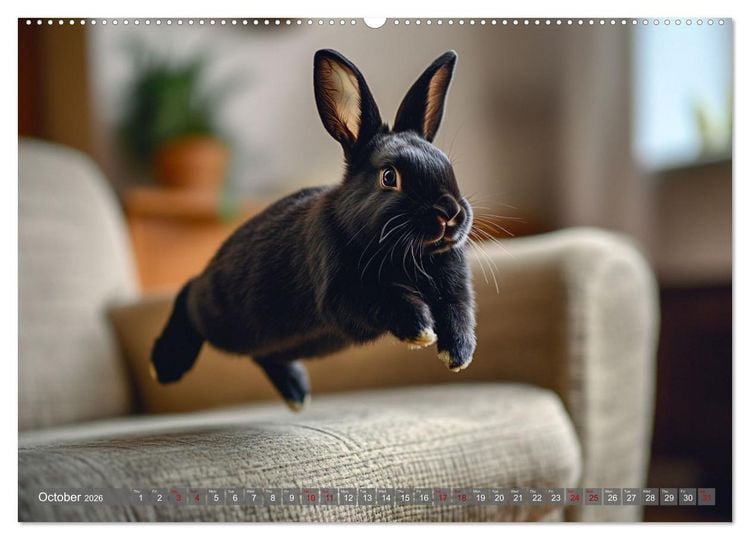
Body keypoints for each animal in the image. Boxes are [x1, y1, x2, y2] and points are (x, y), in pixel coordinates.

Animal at [151, 49, 476, 411]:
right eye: (389, 177)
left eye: (447, 165)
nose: (450, 213)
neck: (408, 253)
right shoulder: (345, 292)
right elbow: (392, 299)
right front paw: (420, 330)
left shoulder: (455, 289)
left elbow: (458, 313)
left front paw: (458, 355)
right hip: (223, 316)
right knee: (189, 294)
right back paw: (167, 364)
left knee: (264, 354)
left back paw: (297, 393)